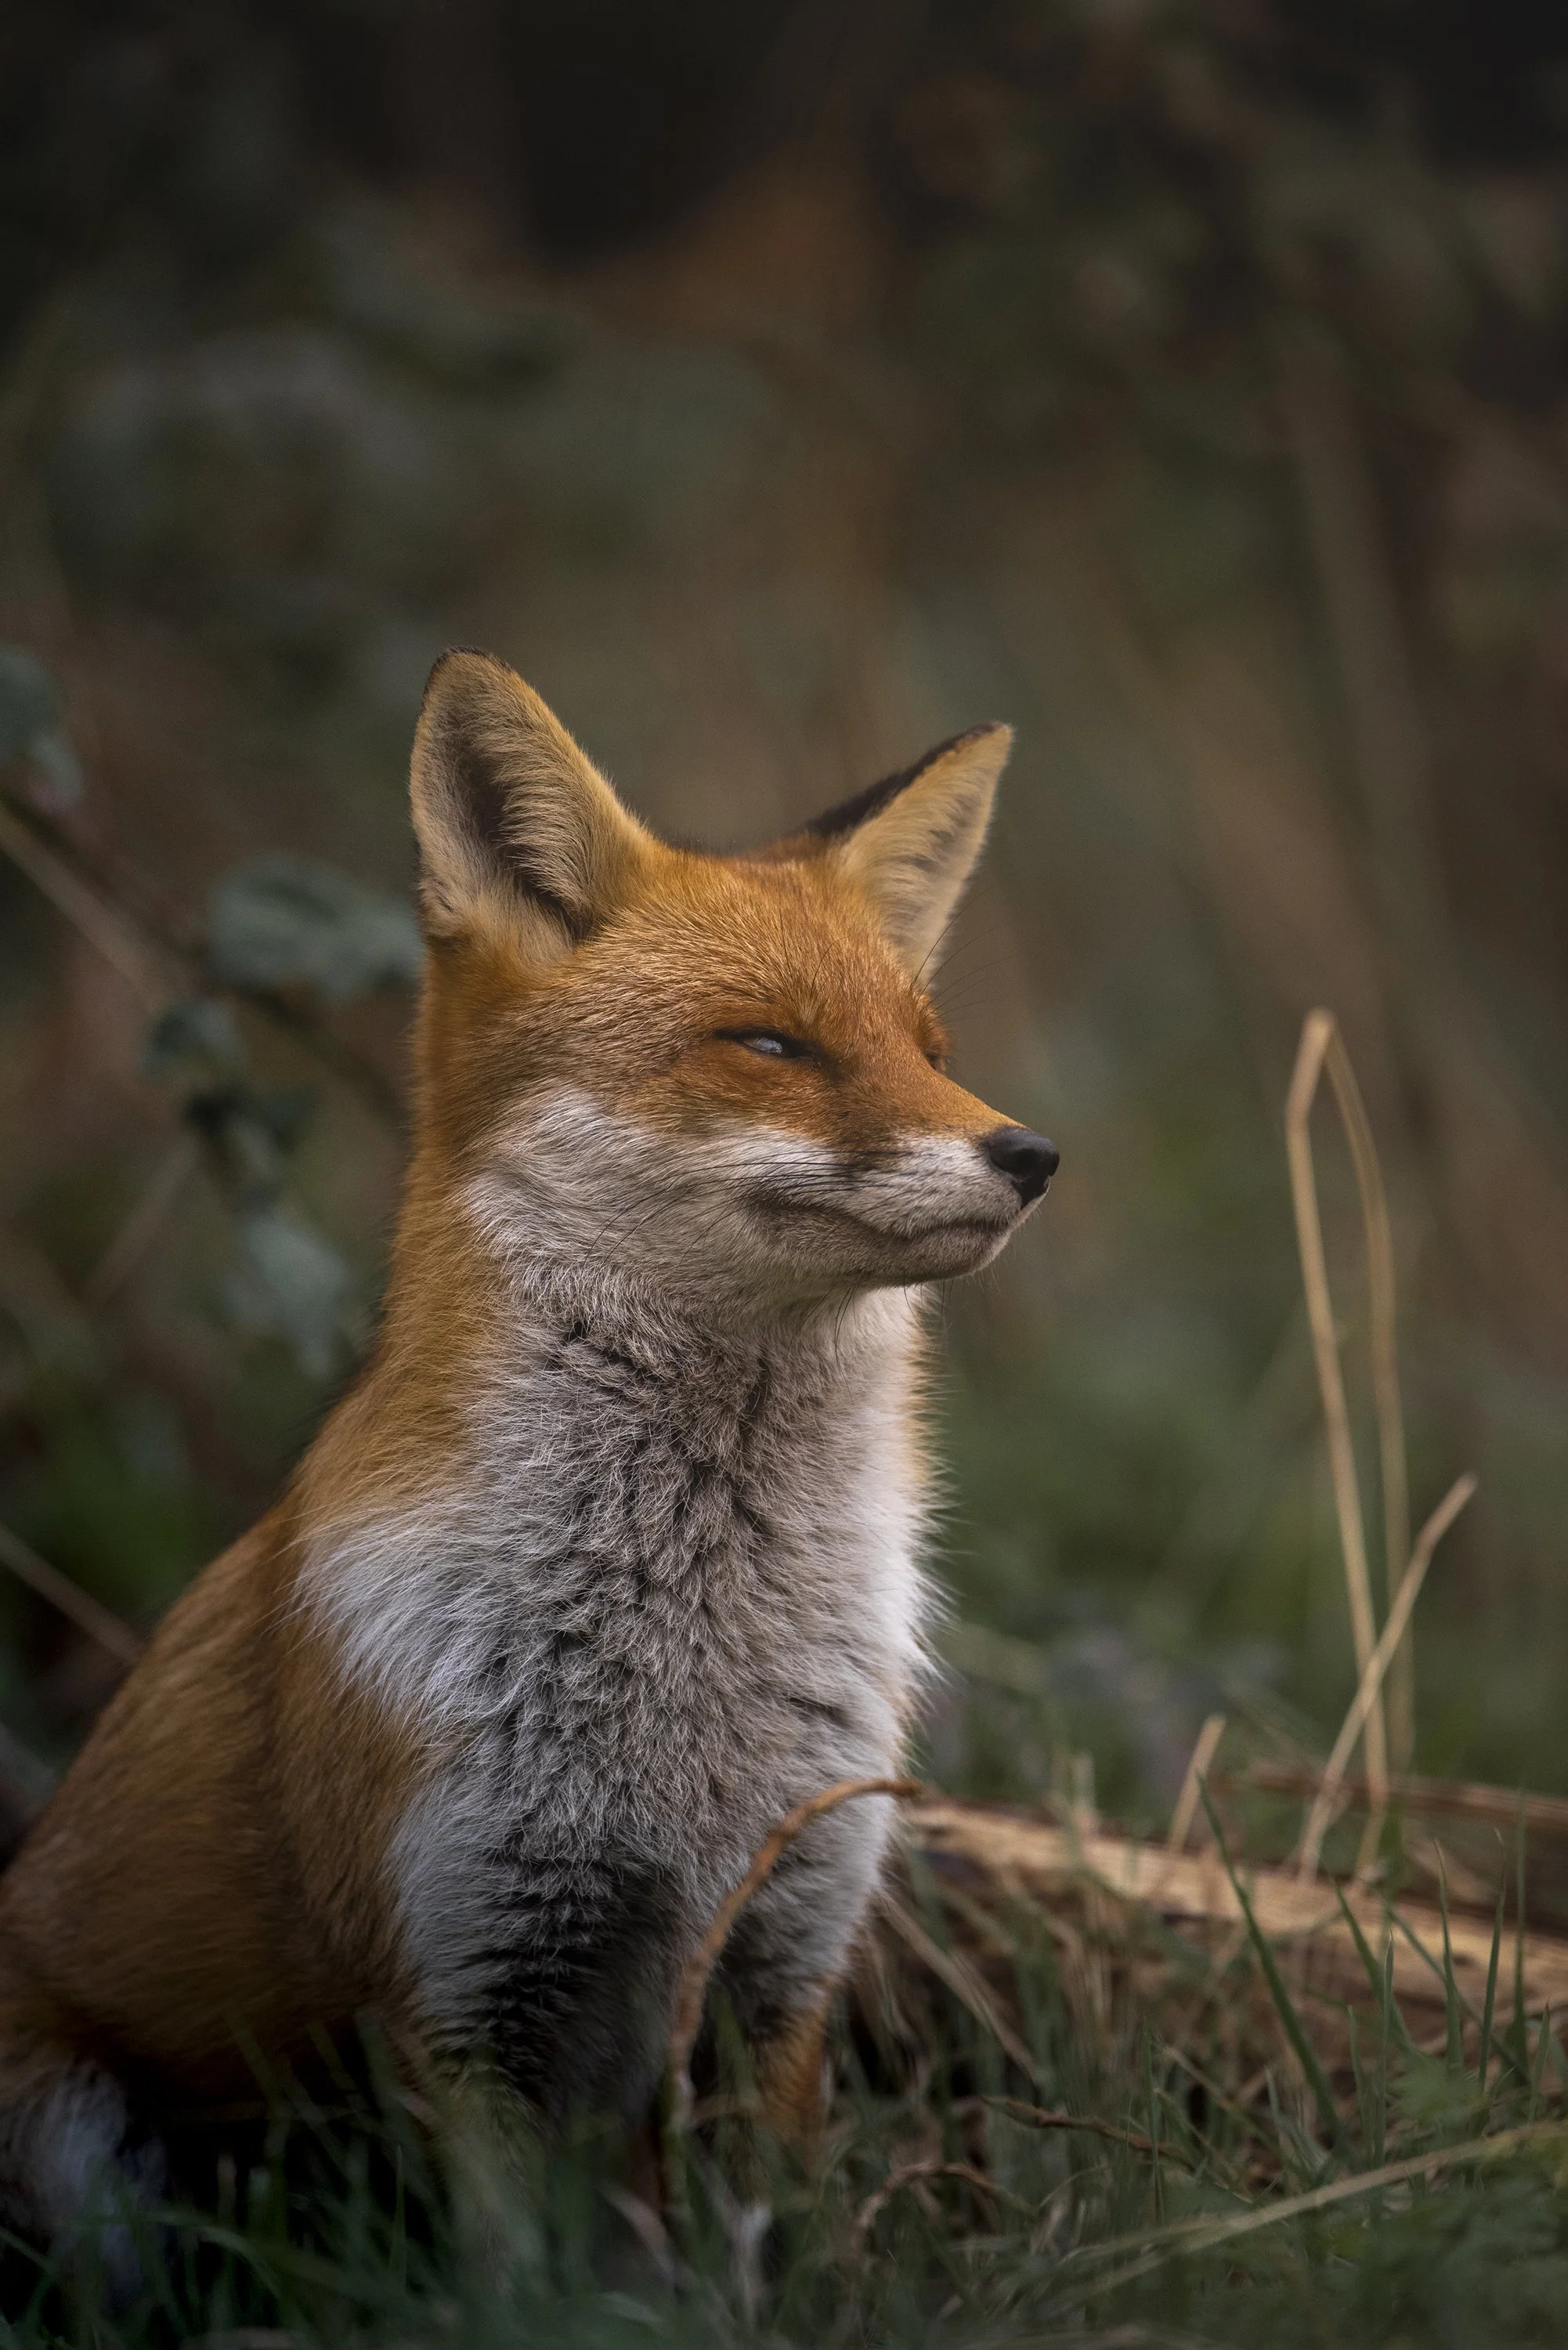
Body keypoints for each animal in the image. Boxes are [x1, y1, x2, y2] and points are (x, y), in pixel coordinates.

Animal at [0, 650, 1056, 2252]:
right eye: (770, 1043)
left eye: (931, 1054)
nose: (1030, 1156)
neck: (687, 1672)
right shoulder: (469, 1977)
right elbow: (524, 2277)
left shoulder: (780, 1950)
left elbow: (782, 2255)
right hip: (83, 2146)